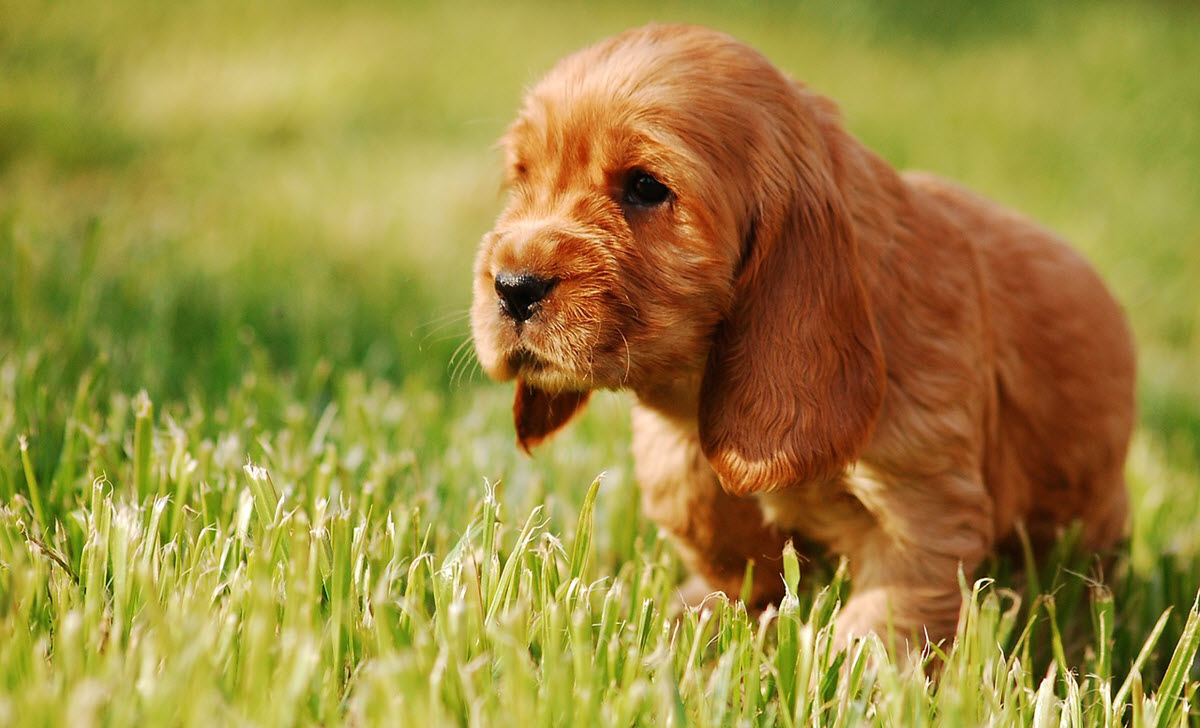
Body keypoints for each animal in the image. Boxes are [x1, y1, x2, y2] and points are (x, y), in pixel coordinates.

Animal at [468, 24, 1132, 647]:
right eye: (522, 179)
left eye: (646, 187)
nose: (513, 286)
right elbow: (698, 508)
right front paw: (700, 613)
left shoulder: (924, 494)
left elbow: (895, 606)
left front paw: (860, 671)